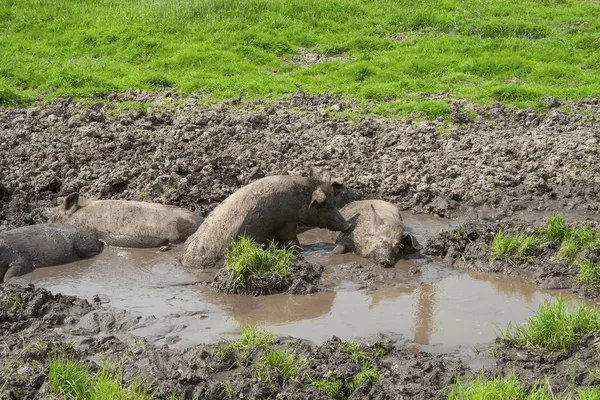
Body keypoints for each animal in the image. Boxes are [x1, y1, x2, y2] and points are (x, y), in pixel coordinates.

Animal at [180, 167, 354, 268]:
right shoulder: (286, 222)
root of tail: (186, 262)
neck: (299, 200)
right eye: (328, 206)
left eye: (334, 202)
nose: (349, 226)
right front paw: (299, 253)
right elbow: (290, 240)